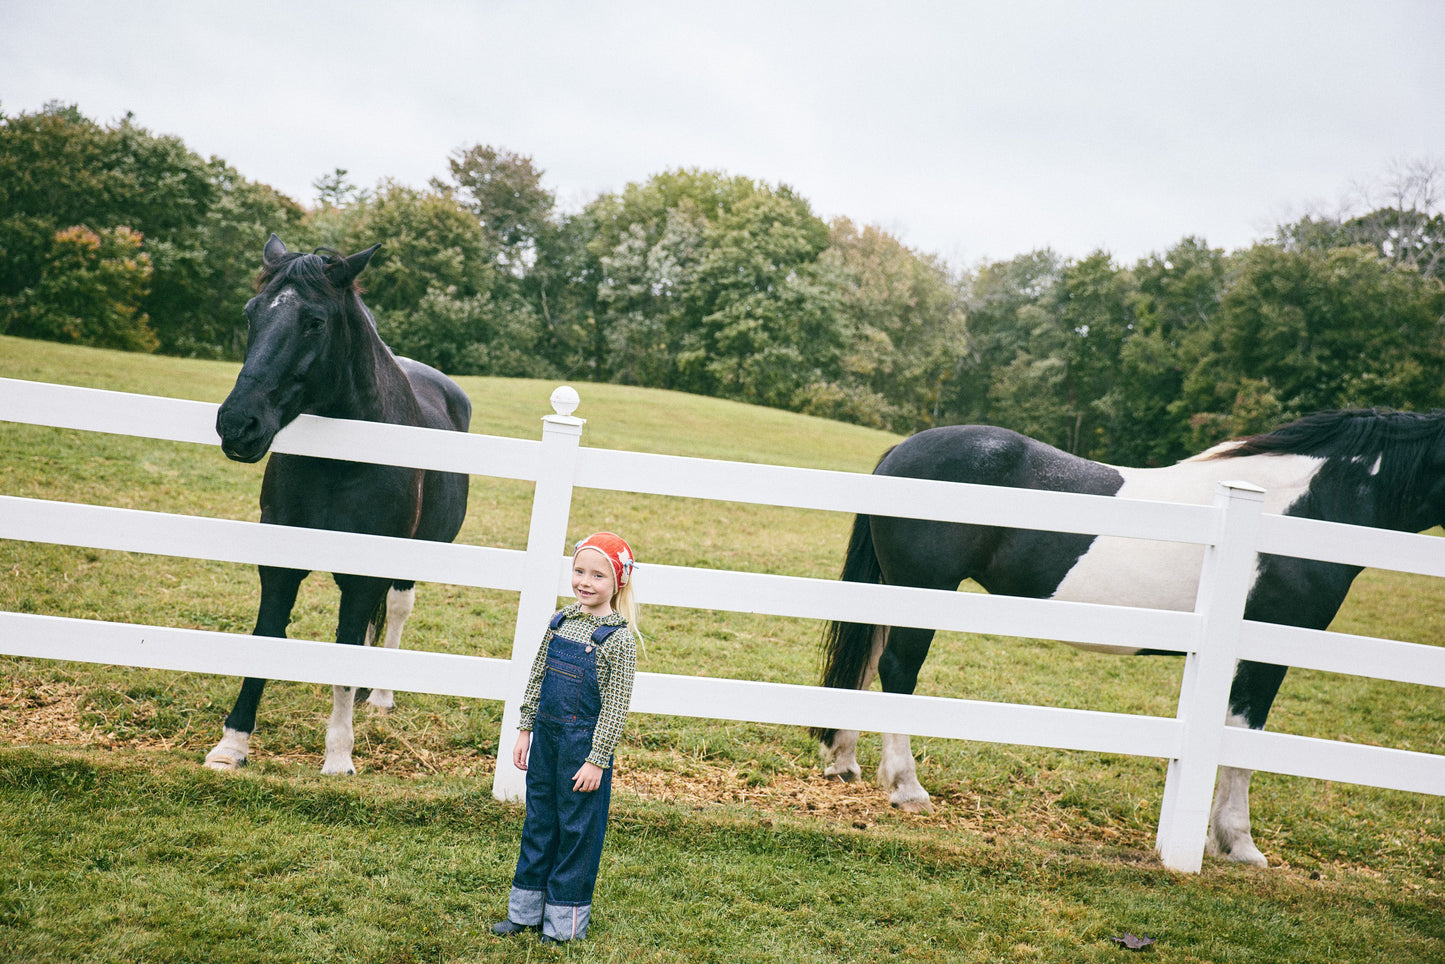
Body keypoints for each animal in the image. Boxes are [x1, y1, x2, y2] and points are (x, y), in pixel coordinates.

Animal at [203, 234, 471, 774]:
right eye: (251, 313)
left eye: (315, 322)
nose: (237, 424)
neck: (341, 460)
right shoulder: (280, 563)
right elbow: (265, 636)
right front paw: (232, 745)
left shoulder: (365, 572)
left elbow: (348, 646)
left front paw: (339, 755)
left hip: (408, 562)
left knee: (396, 610)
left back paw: (382, 697)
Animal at [820, 413, 1445, 867]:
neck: (1301, 506)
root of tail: (901, 451)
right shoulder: (1264, 649)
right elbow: (1242, 740)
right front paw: (1239, 843)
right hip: (922, 591)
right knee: (898, 670)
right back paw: (906, 788)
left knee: (868, 660)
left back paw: (842, 760)